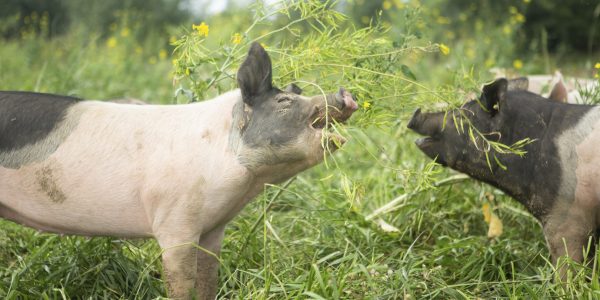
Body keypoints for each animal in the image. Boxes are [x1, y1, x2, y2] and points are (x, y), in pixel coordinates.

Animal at [0, 42, 356, 300]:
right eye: (284, 102)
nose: (345, 93)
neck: (242, 183)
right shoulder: (175, 223)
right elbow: (181, 284)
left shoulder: (213, 228)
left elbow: (209, 280)